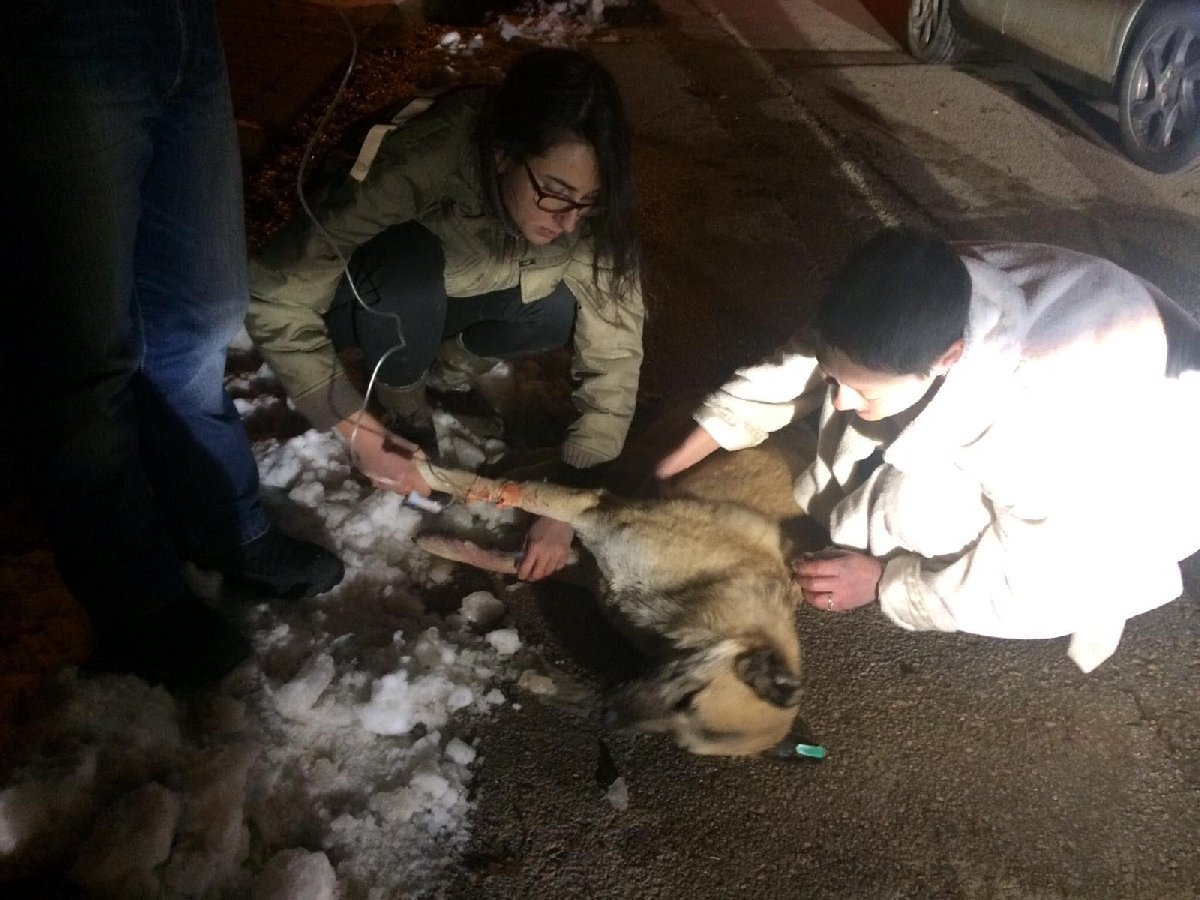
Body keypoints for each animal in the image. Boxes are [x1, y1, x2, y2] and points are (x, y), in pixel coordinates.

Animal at [413, 421, 823, 758]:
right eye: (687, 700)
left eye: (678, 737)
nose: (607, 719)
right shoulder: (596, 510)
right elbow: (511, 493)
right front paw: (429, 476)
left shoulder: (592, 568)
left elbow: (515, 560)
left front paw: (447, 544)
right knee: (550, 463)